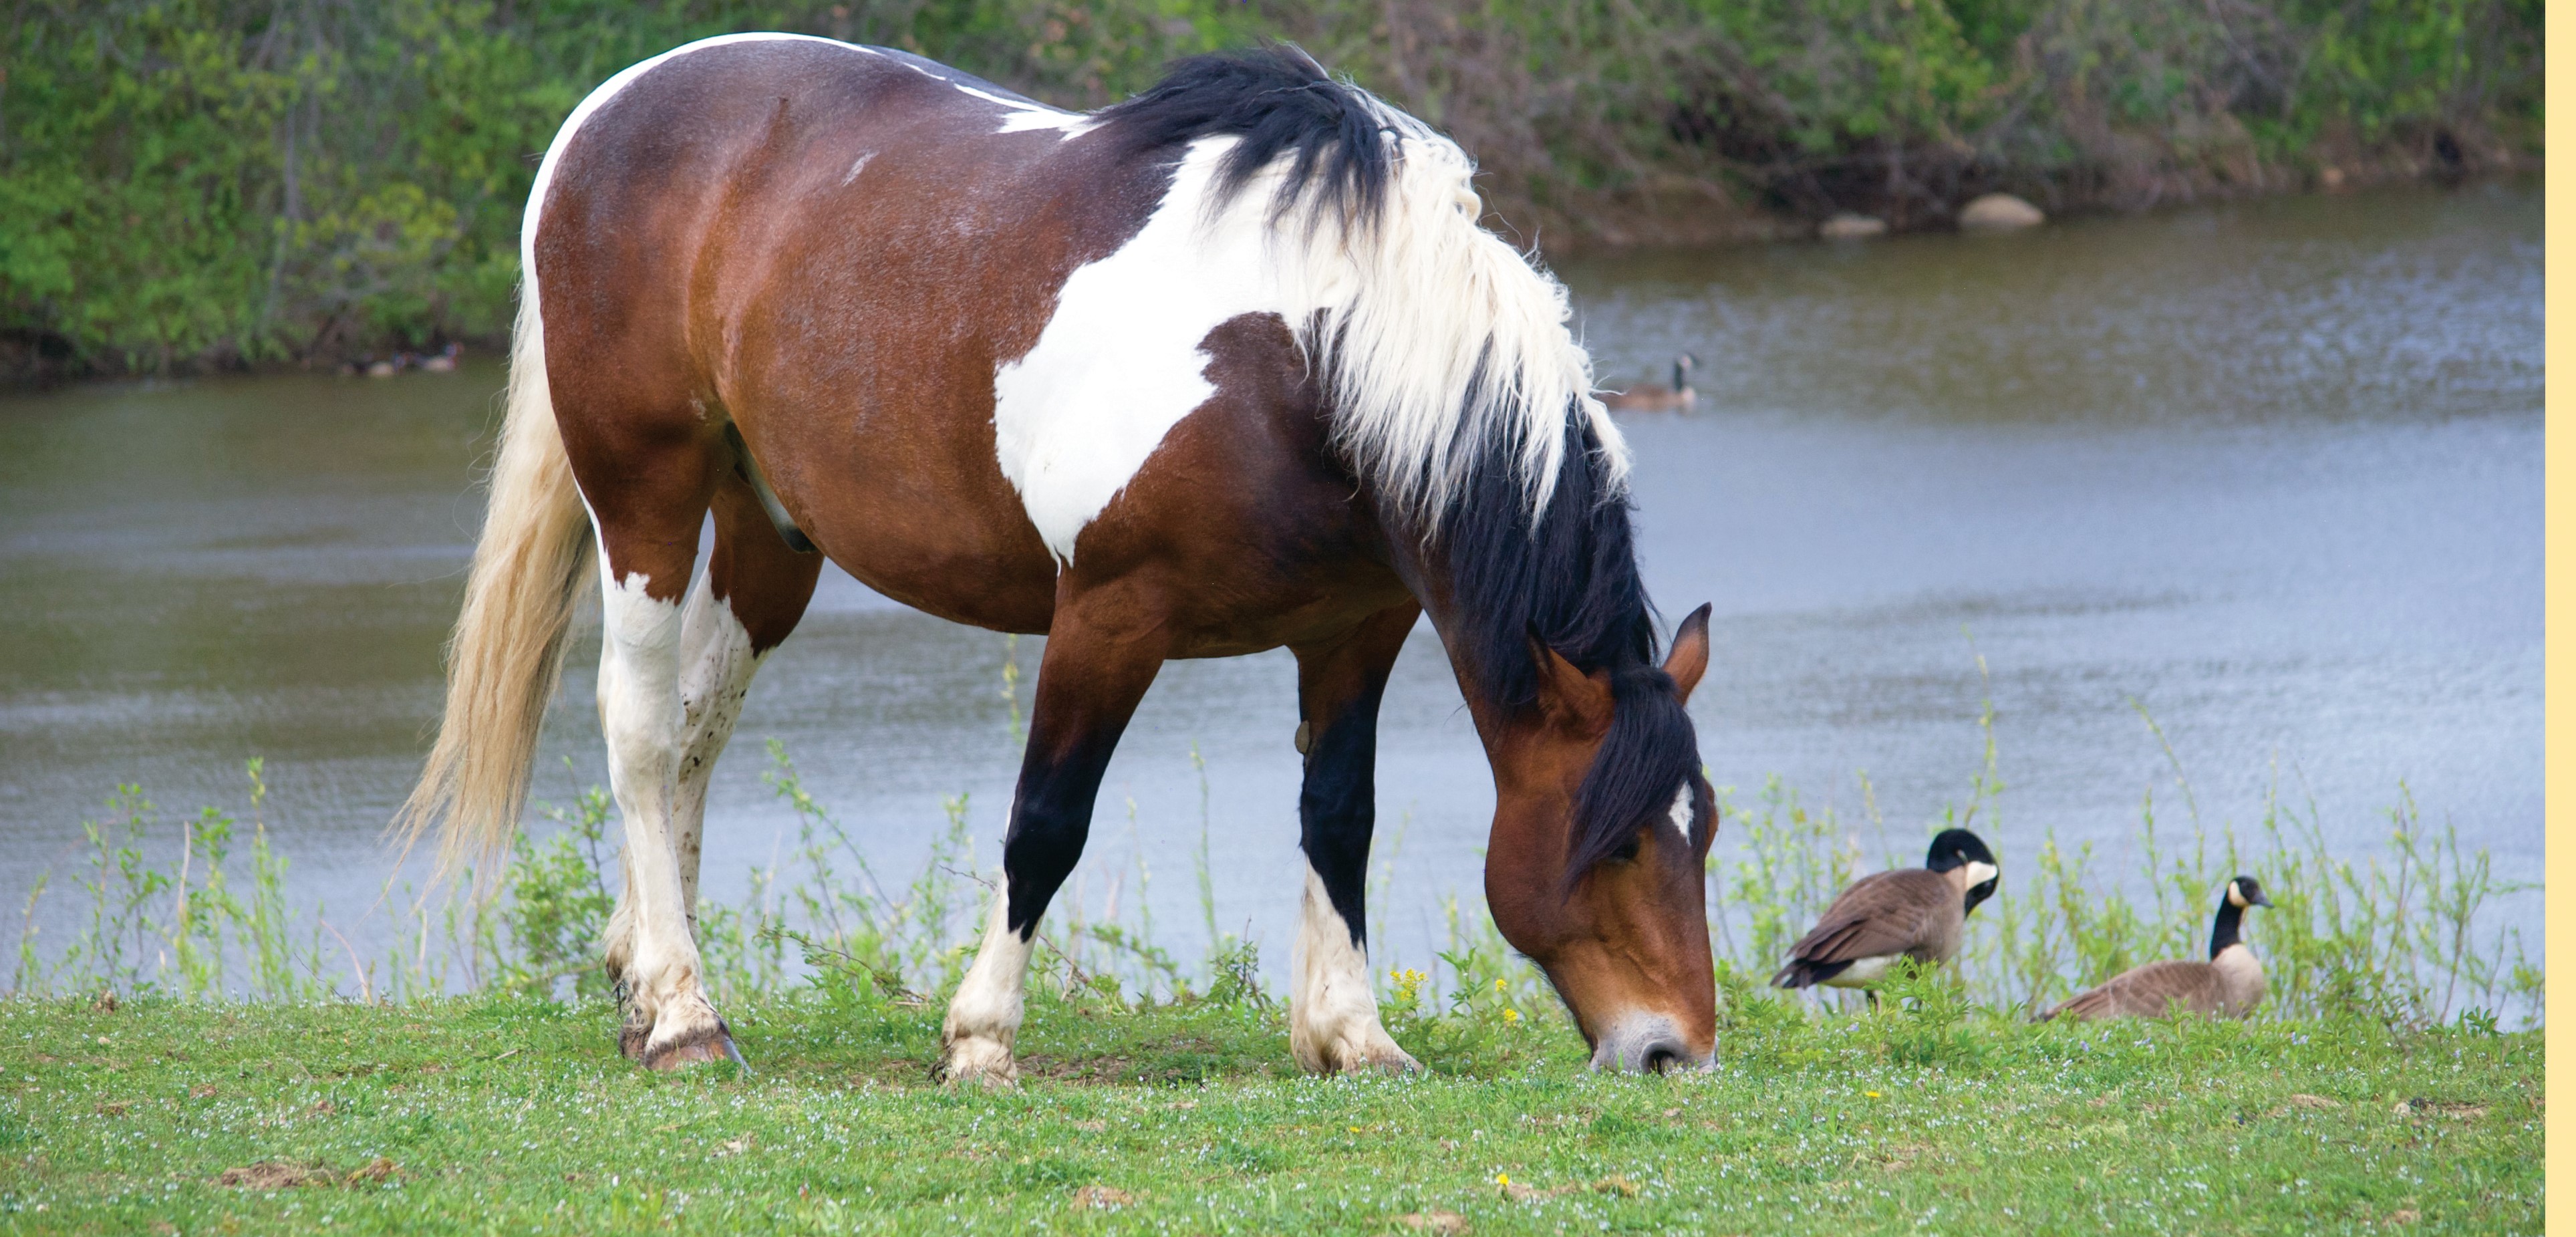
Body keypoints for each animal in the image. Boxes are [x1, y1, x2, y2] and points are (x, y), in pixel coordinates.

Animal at [402, 36, 1721, 1082]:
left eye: (1698, 829)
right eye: (1616, 840)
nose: (1673, 1049)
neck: (1311, 363)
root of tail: (607, 109)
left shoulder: (1354, 631)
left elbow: (1338, 817)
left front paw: (1352, 1037)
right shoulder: (1108, 619)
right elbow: (1046, 819)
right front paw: (980, 1036)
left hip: (768, 534)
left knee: (691, 735)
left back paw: (642, 983)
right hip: (646, 501)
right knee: (636, 729)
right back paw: (684, 1017)